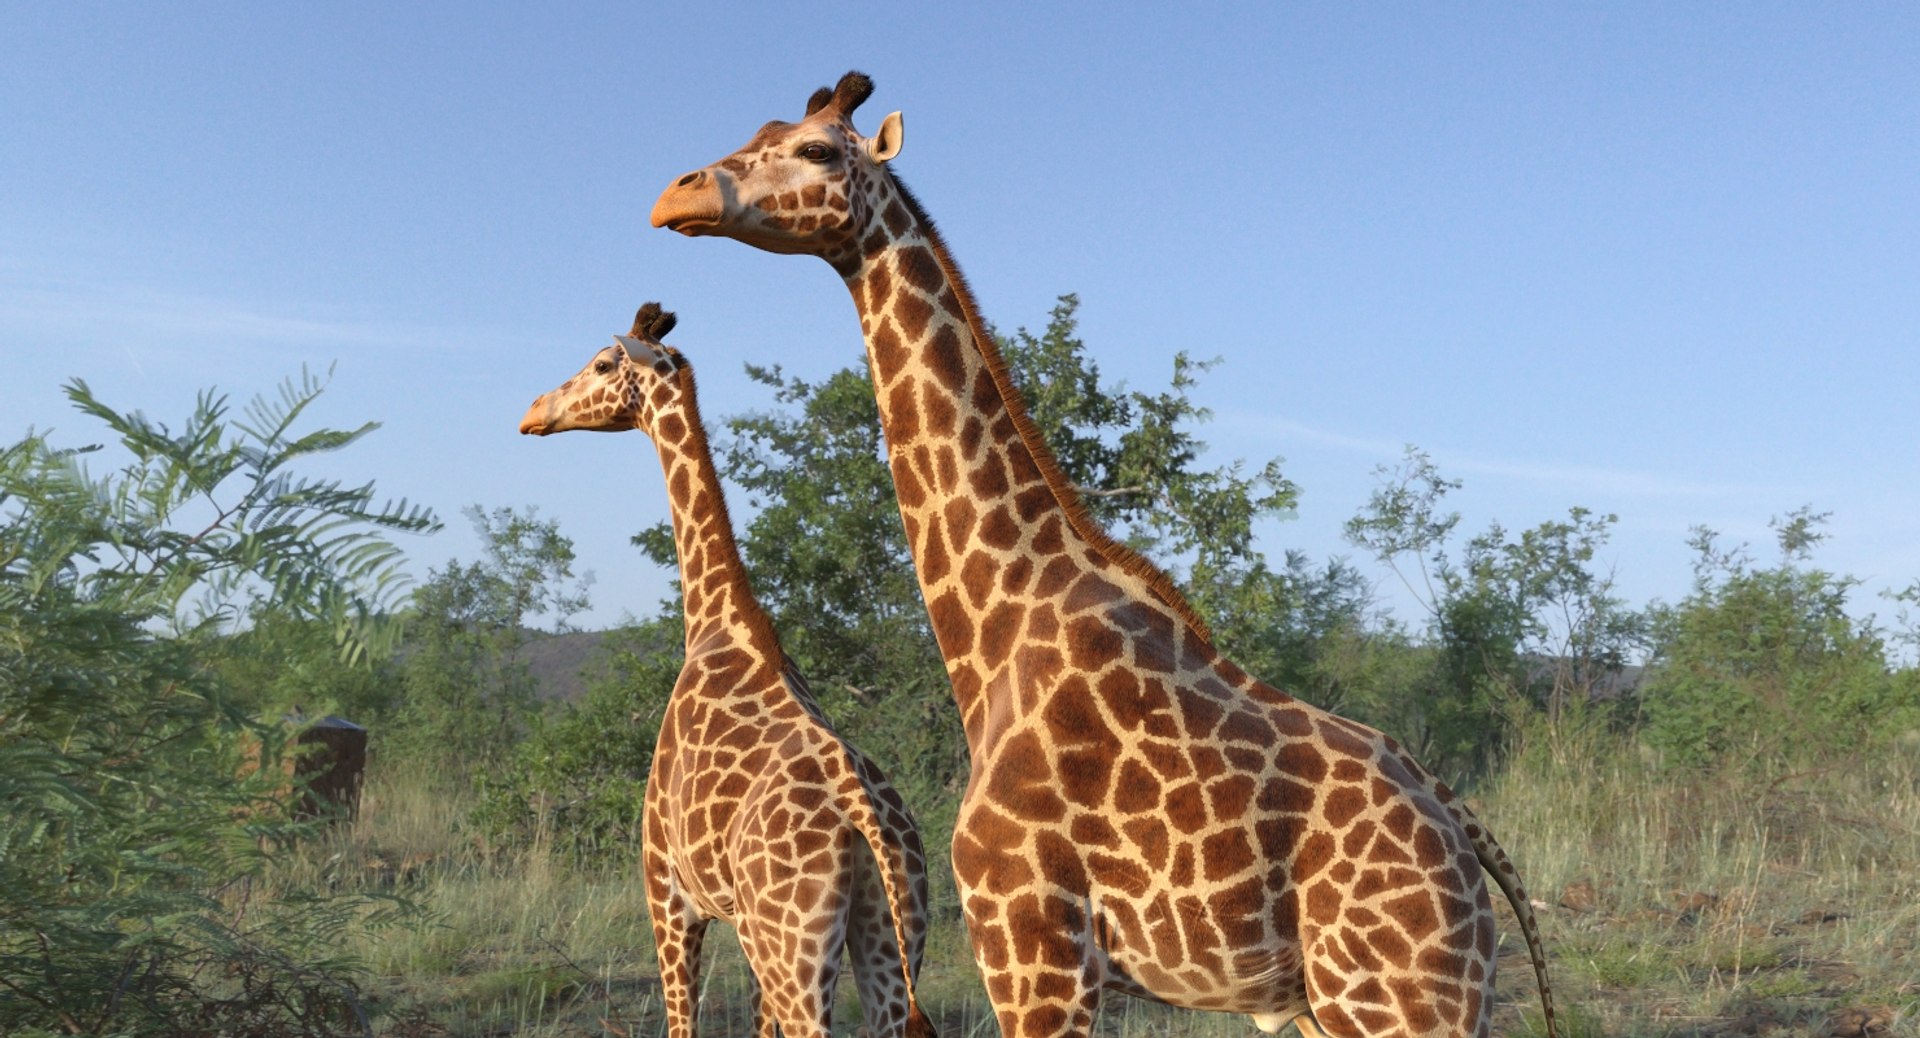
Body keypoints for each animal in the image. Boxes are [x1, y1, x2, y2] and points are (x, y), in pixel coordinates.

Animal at [519, 302, 937, 1038]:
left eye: (600, 363)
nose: (534, 412)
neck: (715, 623)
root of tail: (865, 818)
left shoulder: (668, 896)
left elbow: (681, 1023)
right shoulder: (741, 929)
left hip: (795, 948)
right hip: (890, 938)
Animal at [649, 74, 1559, 1038]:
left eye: (819, 149)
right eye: (760, 128)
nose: (676, 195)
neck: (1001, 628)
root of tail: (1465, 832)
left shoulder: (1031, 952)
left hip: (1399, 997)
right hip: (1339, 1001)